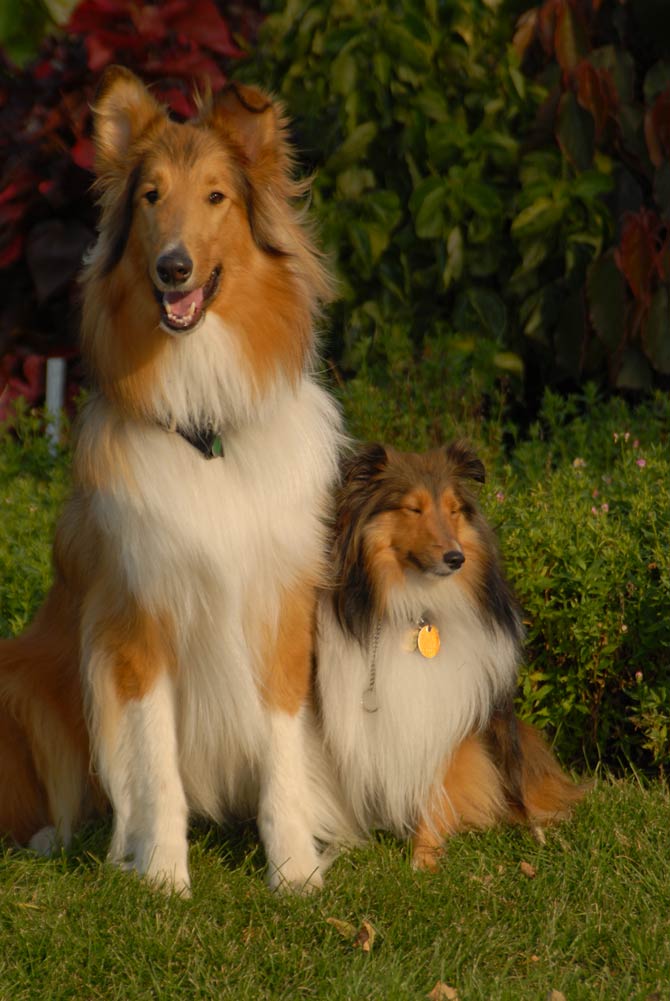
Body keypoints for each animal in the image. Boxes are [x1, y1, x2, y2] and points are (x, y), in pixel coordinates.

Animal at [314, 440, 580, 868]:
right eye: (413, 508)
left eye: (453, 510)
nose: (456, 558)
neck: (416, 606)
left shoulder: (447, 714)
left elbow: (436, 789)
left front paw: (424, 857)